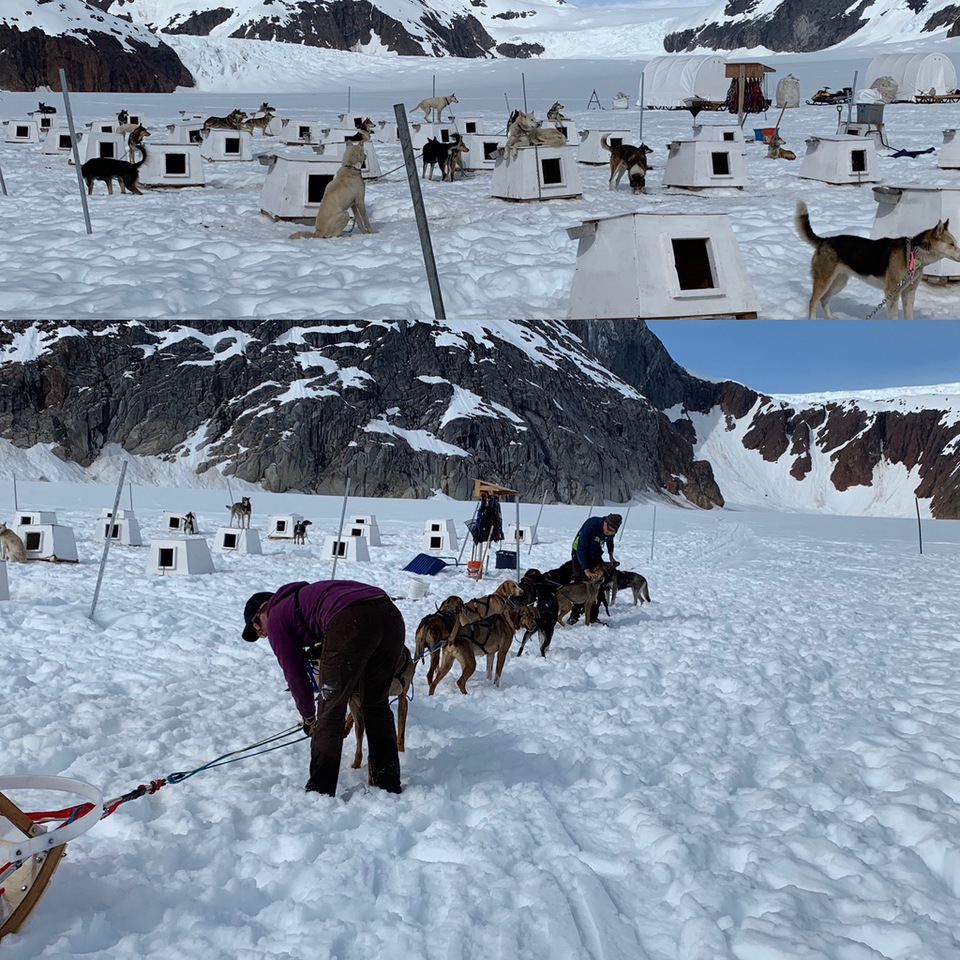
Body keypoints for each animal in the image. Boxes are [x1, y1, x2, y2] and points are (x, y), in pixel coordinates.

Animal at [796, 199, 960, 318]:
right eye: (951, 244)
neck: (912, 253)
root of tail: (824, 240)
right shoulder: (892, 293)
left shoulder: (909, 293)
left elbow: (909, 316)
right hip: (825, 281)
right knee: (812, 301)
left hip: (839, 282)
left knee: (824, 300)